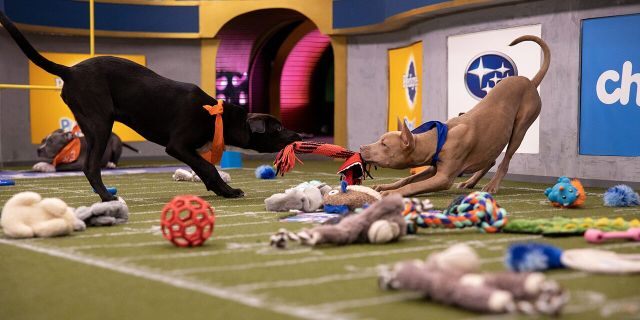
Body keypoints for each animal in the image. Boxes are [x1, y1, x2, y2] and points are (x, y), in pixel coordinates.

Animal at [0, 13, 302, 202]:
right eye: (278, 128)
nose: (300, 136)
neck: (216, 116)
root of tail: (70, 71)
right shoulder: (178, 146)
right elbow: (208, 167)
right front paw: (227, 190)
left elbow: (205, 169)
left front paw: (221, 191)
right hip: (100, 123)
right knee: (91, 167)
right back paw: (107, 197)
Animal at [360, 36, 552, 199]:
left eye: (384, 144)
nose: (361, 147)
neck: (437, 139)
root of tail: (530, 83)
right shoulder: (432, 168)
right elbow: (407, 179)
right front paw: (386, 186)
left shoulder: (443, 177)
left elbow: (413, 185)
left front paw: (390, 193)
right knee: (490, 159)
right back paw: (471, 181)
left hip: (521, 128)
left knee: (505, 159)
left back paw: (492, 185)